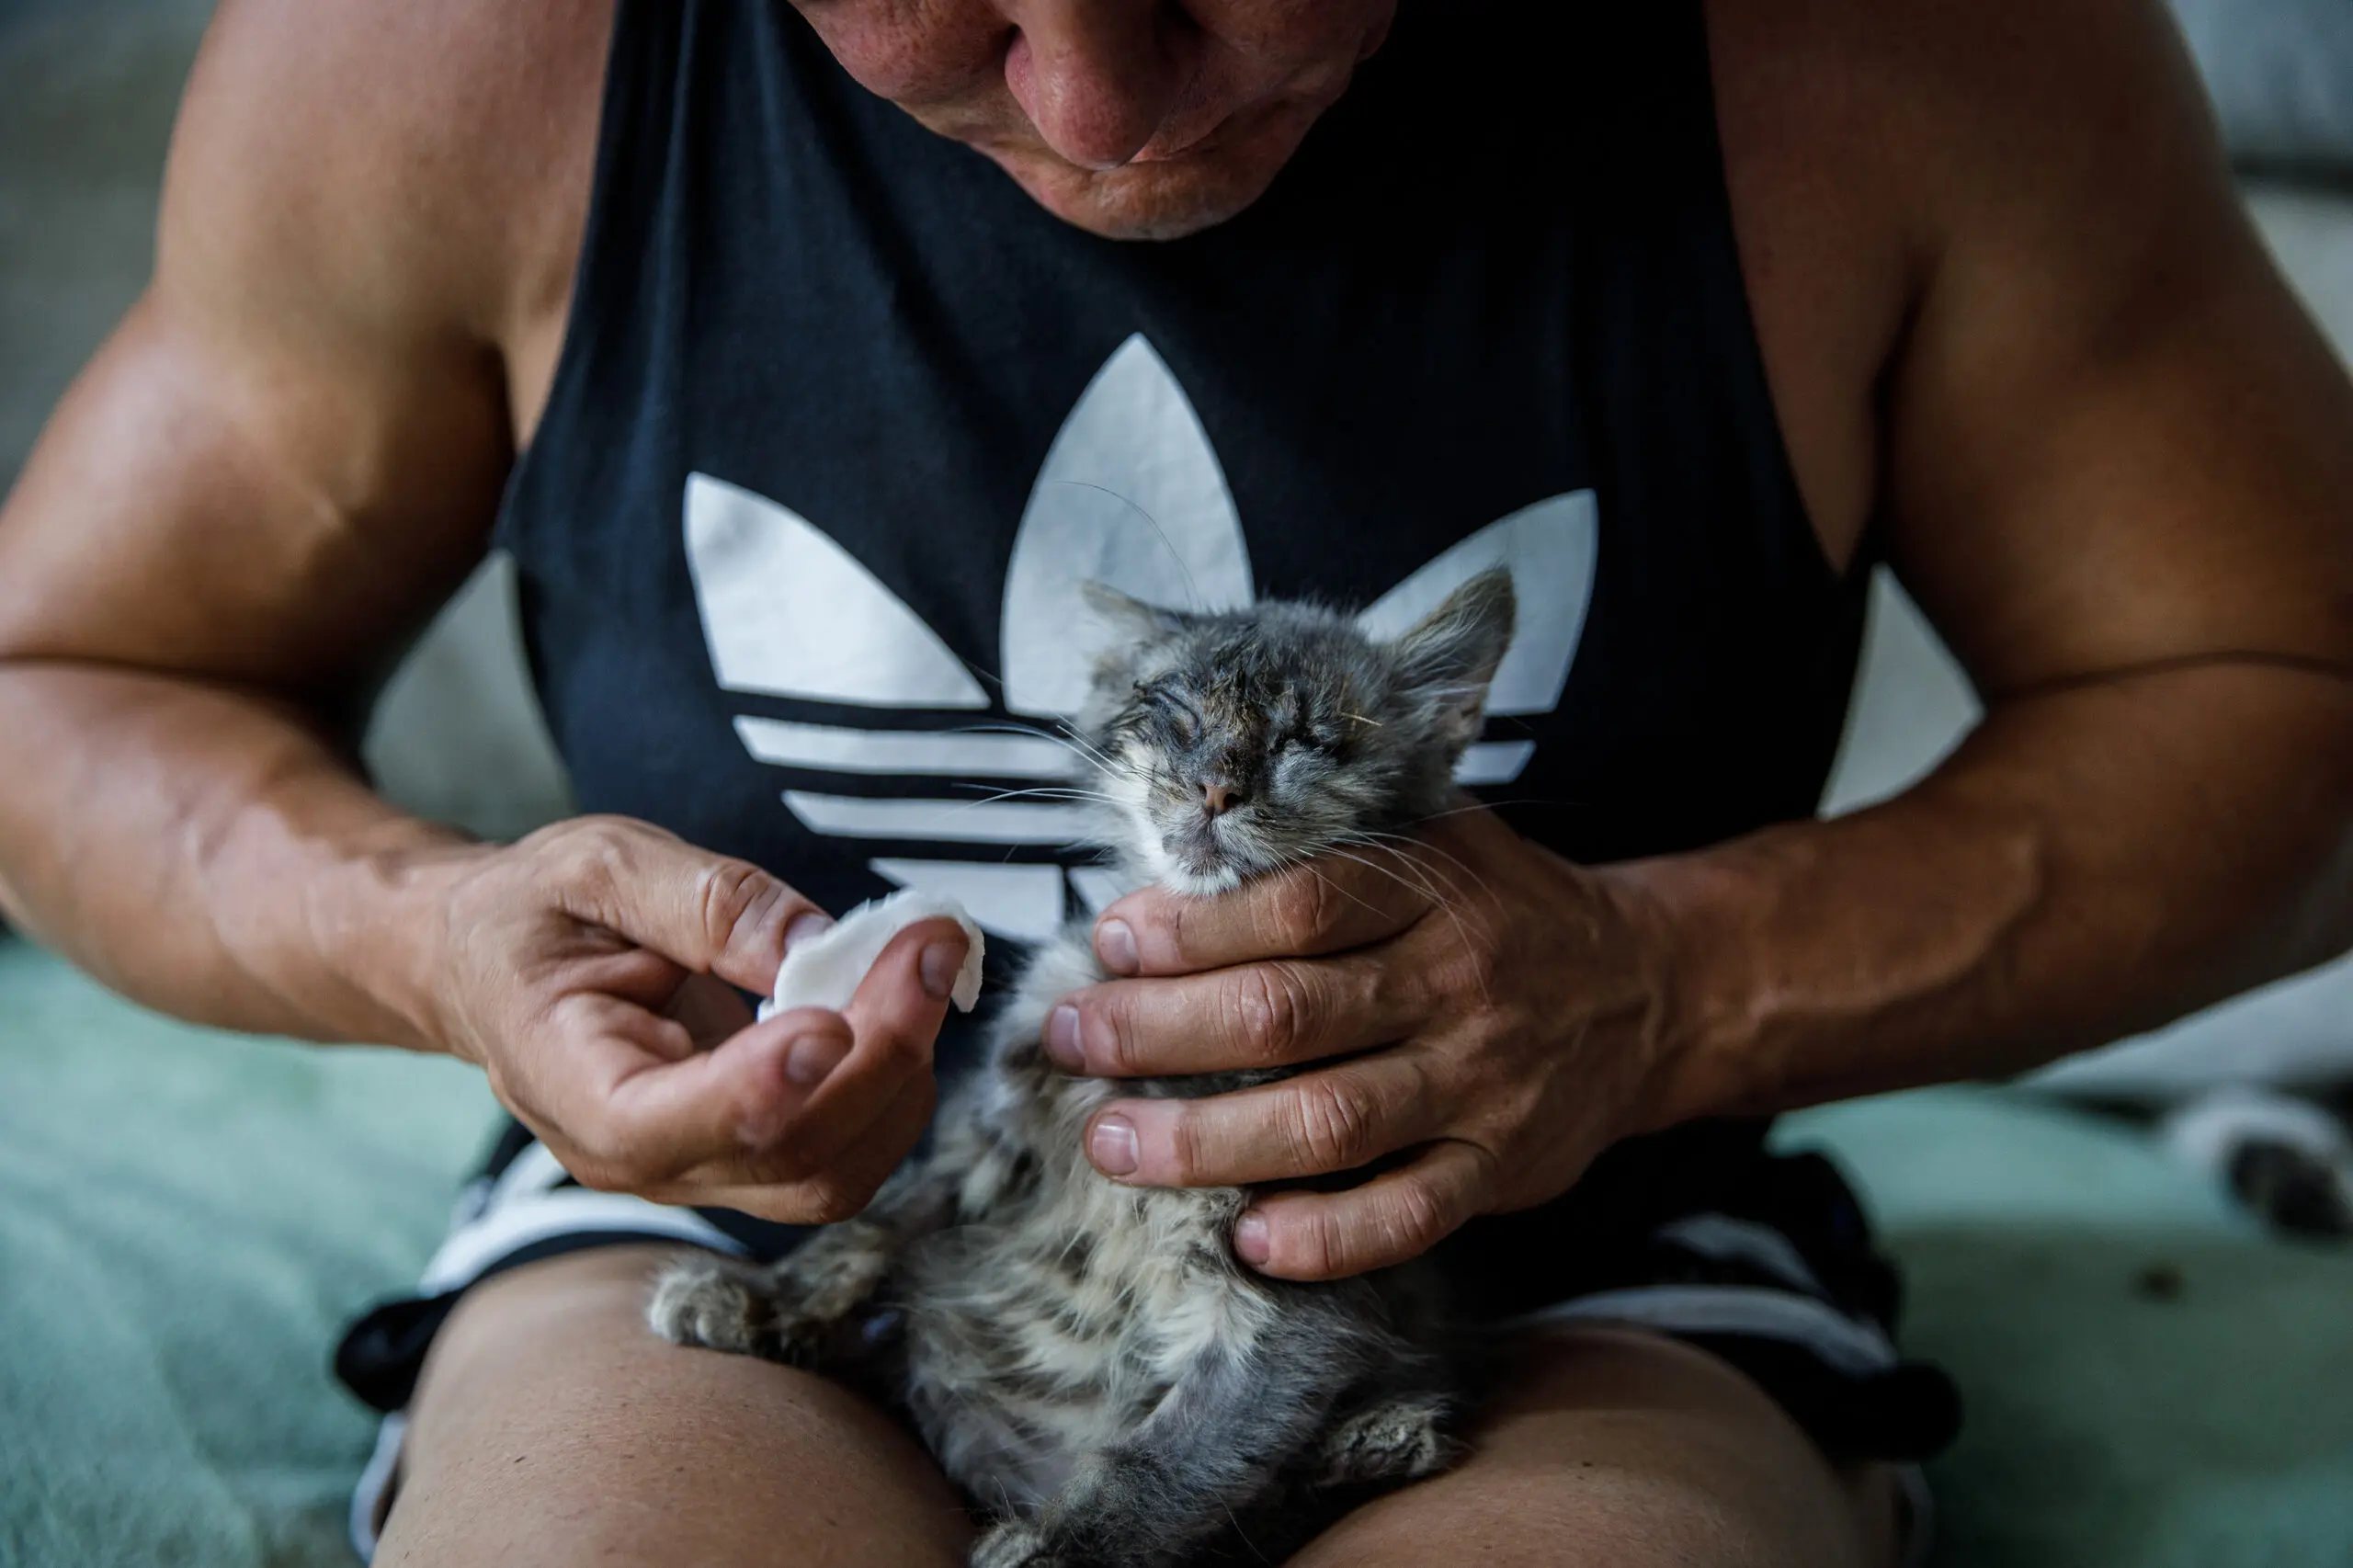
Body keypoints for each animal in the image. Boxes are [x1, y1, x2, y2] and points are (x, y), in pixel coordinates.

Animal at [654, 567, 1515, 1553]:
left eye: (1305, 740)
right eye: (1177, 711)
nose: (1215, 787)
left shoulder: (1301, 1278)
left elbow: (1173, 1462)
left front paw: (1061, 1548)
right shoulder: (992, 1131)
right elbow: (875, 1225)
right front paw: (763, 1297)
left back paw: (1377, 1439)